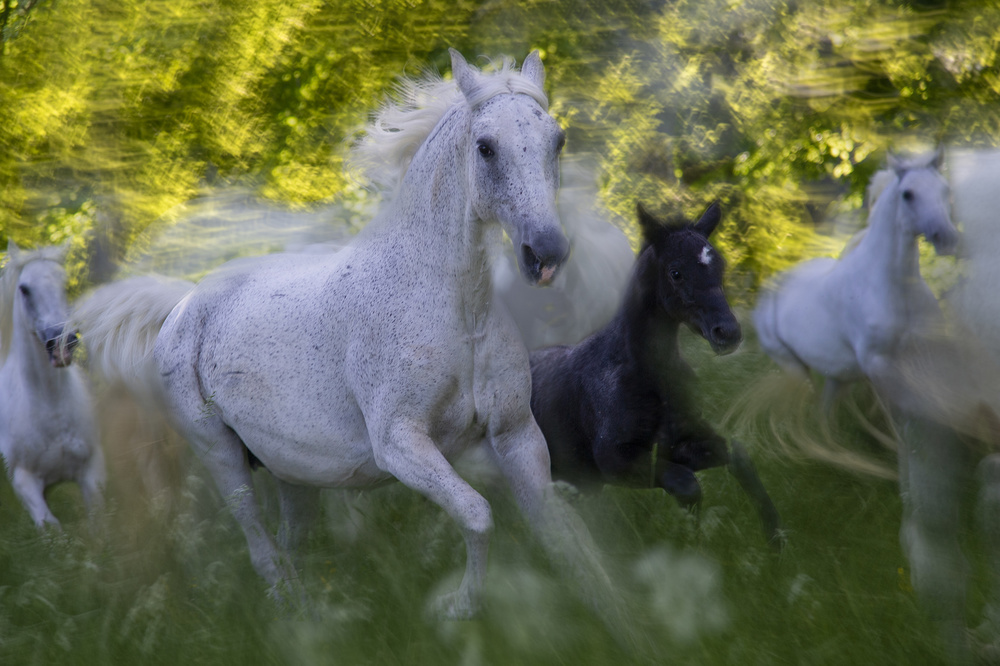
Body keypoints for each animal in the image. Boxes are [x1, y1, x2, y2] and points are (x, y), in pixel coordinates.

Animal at [0, 241, 104, 529]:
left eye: (65, 284)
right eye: (24, 289)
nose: (62, 344)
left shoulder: (91, 471)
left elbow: (99, 525)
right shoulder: (25, 483)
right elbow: (53, 530)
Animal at [73, 50, 628, 626]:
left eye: (557, 141)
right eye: (485, 146)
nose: (547, 252)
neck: (457, 313)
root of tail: (183, 304)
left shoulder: (516, 435)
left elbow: (565, 535)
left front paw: (619, 618)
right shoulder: (401, 445)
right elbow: (478, 515)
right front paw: (456, 608)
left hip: (291, 473)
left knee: (291, 546)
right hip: (221, 457)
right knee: (262, 550)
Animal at [529, 202, 782, 544]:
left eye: (719, 265)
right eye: (675, 272)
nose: (727, 333)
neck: (651, 379)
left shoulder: (680, 443)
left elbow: (736, 456)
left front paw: (776, 538)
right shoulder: (613, 459)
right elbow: (686, 484)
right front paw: (693, 539)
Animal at [752, 151, 959, 407]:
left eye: (945, 189)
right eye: (907, 194)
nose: (947, 238)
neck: (897, 292)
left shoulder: (930, 354)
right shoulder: (880, 367)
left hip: (838, 377)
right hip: (795, 369)